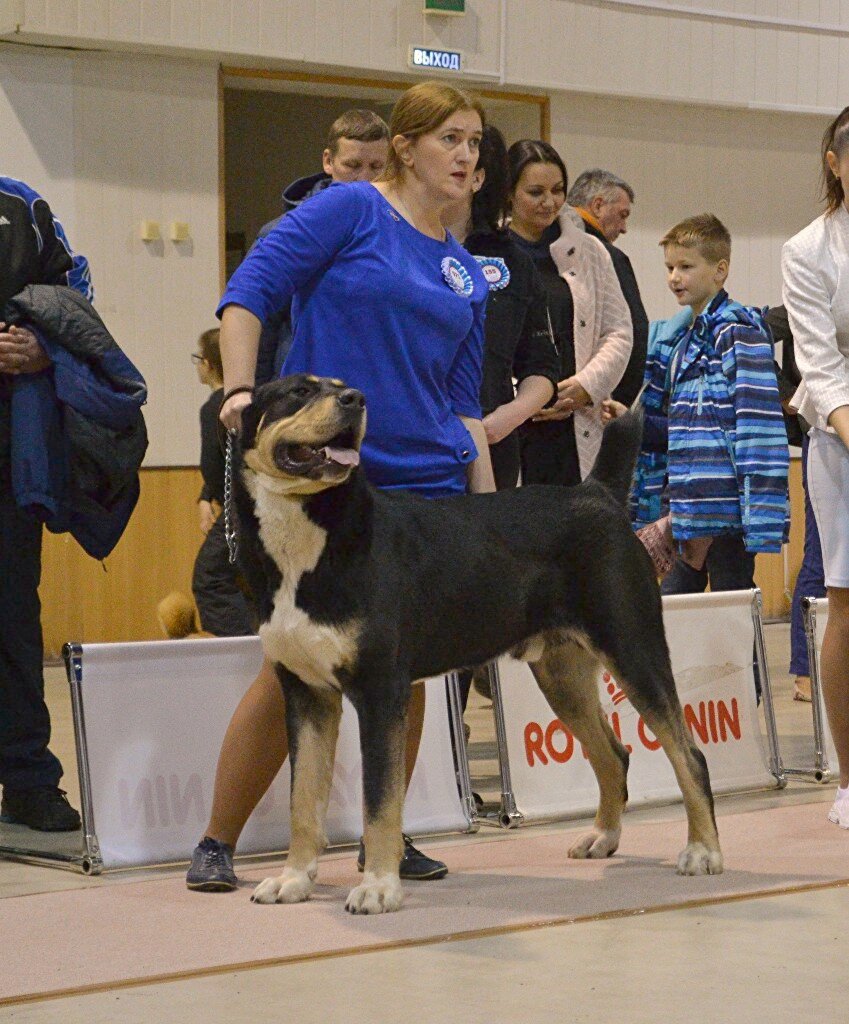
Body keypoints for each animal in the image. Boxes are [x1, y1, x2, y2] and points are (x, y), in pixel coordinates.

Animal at [233, 374, 720, 913]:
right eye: (298, 392)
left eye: (342, 388)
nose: (354, 400)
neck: (309, 538)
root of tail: (596, 494)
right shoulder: (306, 695)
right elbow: (302, 801)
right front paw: (294, 880)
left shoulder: (379, 690)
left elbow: (379, 802)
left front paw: (379, 886)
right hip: (562, 675)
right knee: (614, 755)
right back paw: (603, 838)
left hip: (634, 649)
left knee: (690, 756)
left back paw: (703, 851)